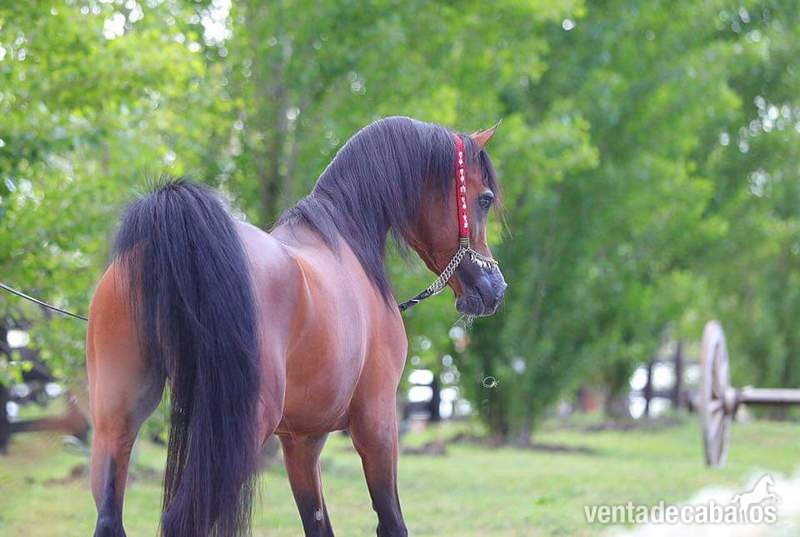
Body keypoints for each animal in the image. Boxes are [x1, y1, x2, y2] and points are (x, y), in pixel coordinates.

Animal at [86, 116, 507, 537]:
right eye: (484, 198)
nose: (495, 289)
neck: (345, 239)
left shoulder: (302, 441)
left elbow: (318, 523)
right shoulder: (378, 423)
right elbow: (391, 521)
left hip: (116, 422)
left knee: (109, 517)